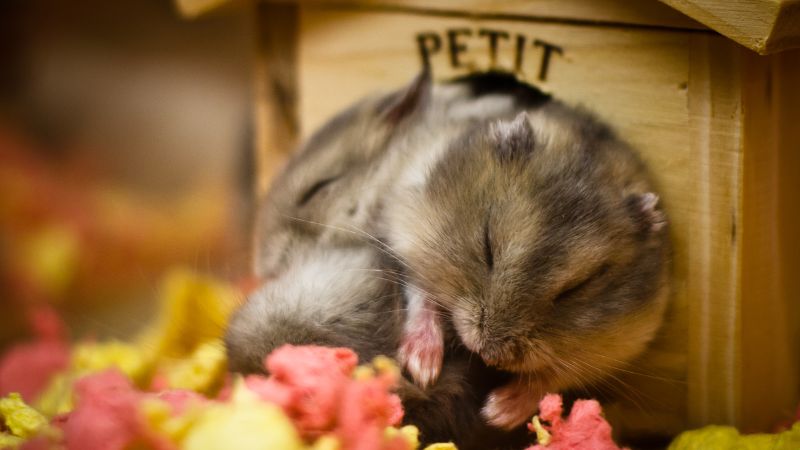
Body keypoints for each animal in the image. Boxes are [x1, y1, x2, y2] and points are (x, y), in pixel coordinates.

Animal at [382, 79, 671, 429]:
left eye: (577, 288)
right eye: (487, 245)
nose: (490, 356)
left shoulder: (623, 344)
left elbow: (554, 377)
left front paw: (496, 413)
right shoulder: (408, 227)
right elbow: (422, 293)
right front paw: (422, 370)